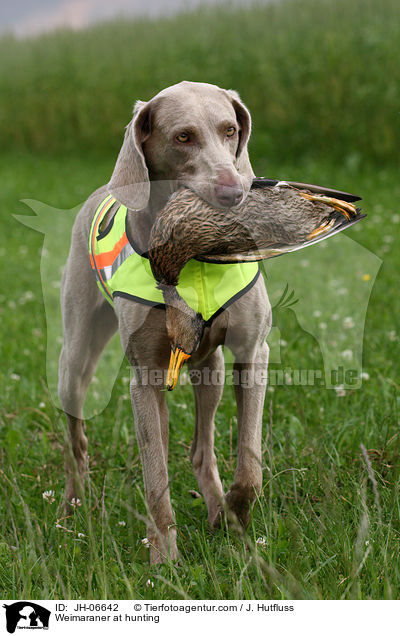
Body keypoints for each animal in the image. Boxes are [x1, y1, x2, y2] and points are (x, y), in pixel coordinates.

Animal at [58, 82, 272, 564]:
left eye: (230, 130)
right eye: (182, 137)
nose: (234, 193)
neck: (195, 260)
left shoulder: (253, 352)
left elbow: (250, 463)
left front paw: (235, 513)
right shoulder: (145, 376)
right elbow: (155, 476)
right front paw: (165, 558)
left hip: (209, 367)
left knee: (201, 447)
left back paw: (217, 507)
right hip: (74, 357)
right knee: (77, 439)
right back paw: (71, 504)